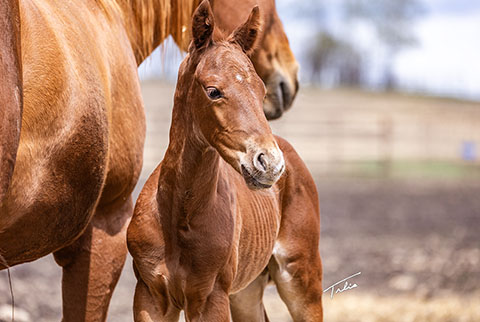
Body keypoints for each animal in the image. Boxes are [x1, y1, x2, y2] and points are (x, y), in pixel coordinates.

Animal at [127, 1, 322, 320]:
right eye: (213, 91)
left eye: (261, 90)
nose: (270, 163)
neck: (177, 215)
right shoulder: (150, 295)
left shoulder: (211, 298)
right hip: (247, 292)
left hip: (302, 278)